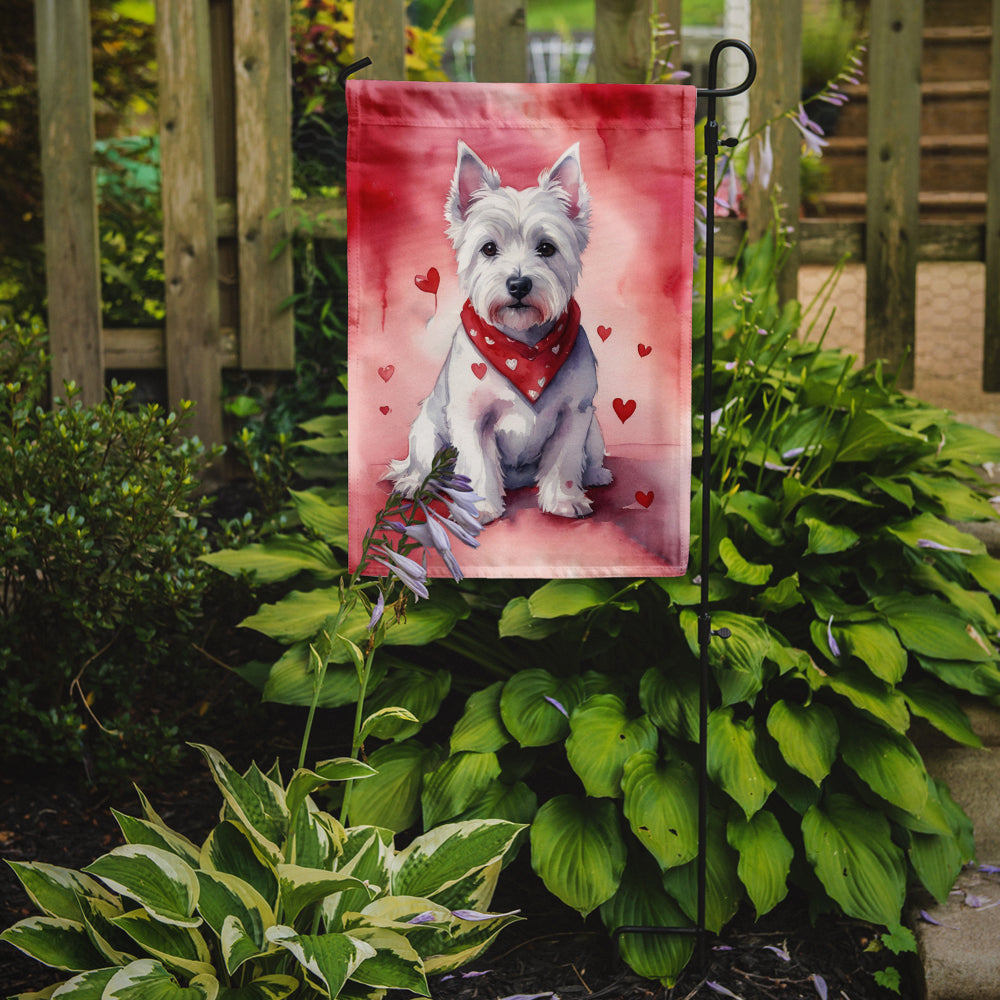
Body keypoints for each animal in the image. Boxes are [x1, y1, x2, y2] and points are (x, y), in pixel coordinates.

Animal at [388, 140, 608, 524]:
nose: (518, 284)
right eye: (489, 248)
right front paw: (480, 508)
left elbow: (564, 460)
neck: (524, 348)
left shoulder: (575, 412)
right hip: (426, 431)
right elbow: (478, 462)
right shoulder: (472, 416)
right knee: (422, 461)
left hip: (594, 431)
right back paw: (414, 483)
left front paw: (564, 501)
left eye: (547, 248)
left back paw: (596, 475)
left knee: (590, 456)